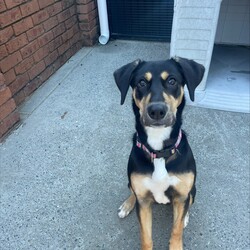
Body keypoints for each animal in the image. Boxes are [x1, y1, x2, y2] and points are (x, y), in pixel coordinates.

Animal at [113, 57, 205, 250]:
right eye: (141, 82)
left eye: (172, 81)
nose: (156, 111)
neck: (159, 151)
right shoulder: (143, 202)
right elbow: (146, 236)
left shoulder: (182, 195)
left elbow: (176, 230)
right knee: (132, 192)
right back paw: (127, 205)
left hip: (192, 190)